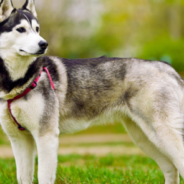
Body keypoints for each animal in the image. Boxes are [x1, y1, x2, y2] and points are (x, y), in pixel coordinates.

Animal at [0, 0, 184, 183]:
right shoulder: (19, 140)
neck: (18, 81)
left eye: (37, 29)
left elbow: (44, 176)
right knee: (171, 168)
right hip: (144, 137)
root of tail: (166, 67)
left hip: (161, 133)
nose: (44, 44)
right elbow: (23, 176)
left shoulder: (46, 136)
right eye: (21, 29)